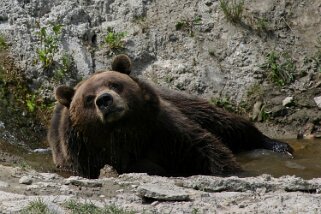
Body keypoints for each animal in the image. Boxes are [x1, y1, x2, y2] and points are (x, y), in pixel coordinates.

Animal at [48, 54, 292, 178]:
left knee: (227, 123)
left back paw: (277, 145)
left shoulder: (162, 129)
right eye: (88, 98)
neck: (125, 134)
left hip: (183, 102)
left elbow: (205, 148)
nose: (105, 100)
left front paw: (235, 171)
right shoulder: (84, 155)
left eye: (114, 83)